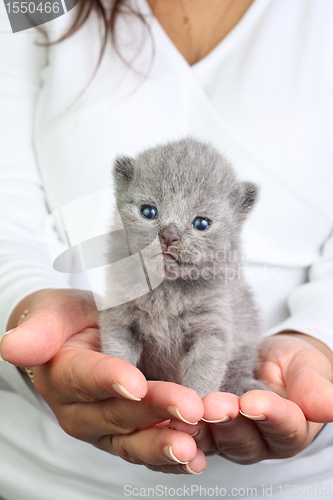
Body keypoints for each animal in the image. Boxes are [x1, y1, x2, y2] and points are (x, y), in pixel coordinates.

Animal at [98, 139, 264, 396]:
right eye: (148, 211)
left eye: (202, 223)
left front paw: (198, 398)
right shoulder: (119, 315)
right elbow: (119, 352)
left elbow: (204, 372)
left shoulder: (212, 328)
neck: (165, 290)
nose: (169, 235)